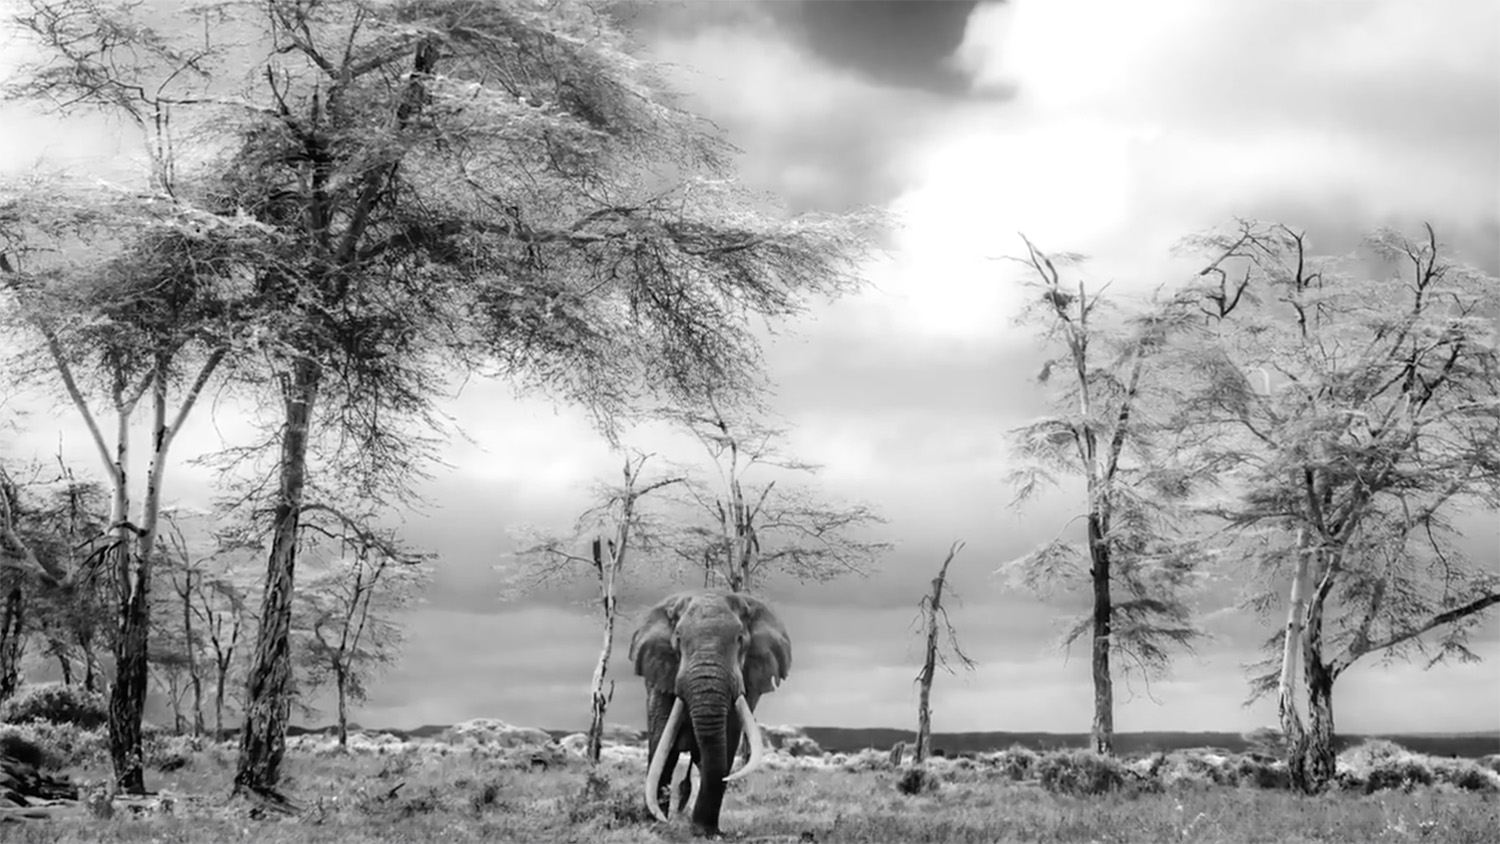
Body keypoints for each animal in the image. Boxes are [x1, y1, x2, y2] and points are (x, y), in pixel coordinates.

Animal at [627, 587, 792, 839]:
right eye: (678, 639)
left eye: (740, 639)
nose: (660, 821)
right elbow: (663, 746)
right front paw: (655, 826)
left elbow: (727, 741)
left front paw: (705, 832)